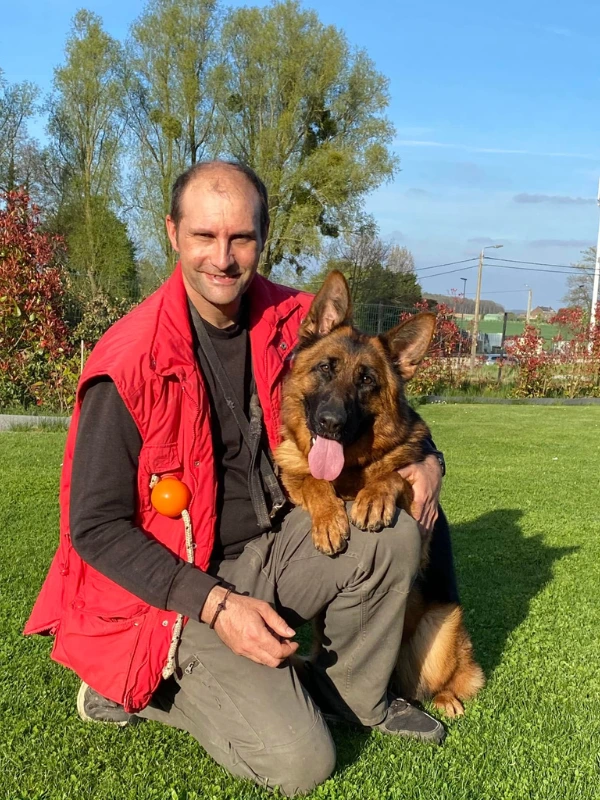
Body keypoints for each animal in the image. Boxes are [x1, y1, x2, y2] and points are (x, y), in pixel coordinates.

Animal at [275, 270, 484, 717]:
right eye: (325, 368)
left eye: (367, 380)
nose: (331, 423)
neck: (350, 472)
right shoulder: (296, 473)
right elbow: (312, 480)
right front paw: (330, 519)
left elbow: (393, 475)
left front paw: (373, 499)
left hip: (440, 632)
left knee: (451, 679)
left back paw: (446, 698)